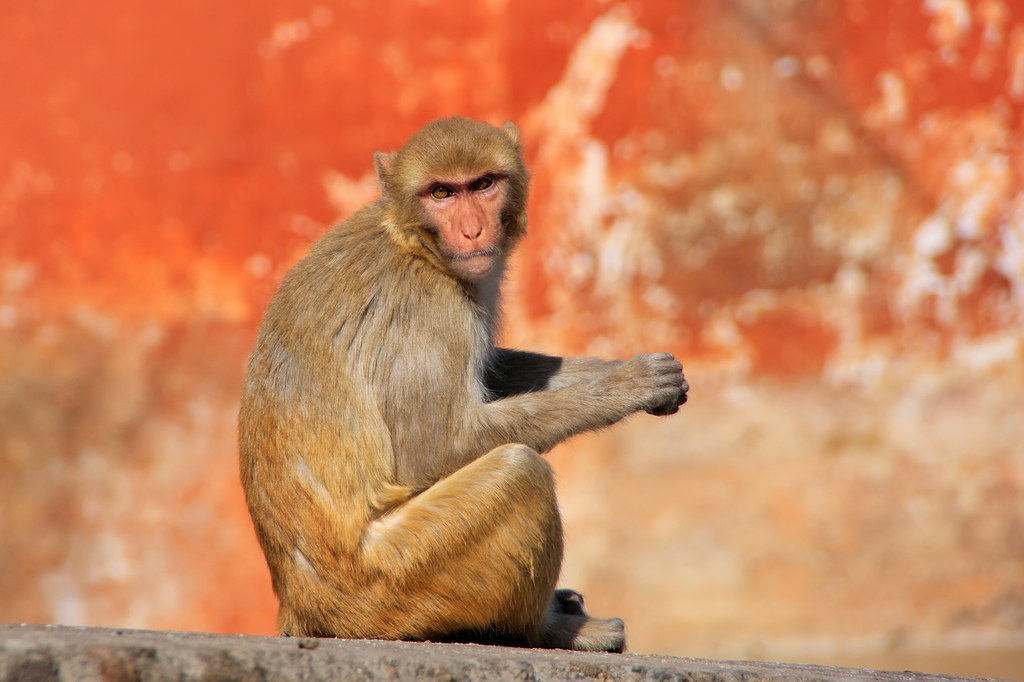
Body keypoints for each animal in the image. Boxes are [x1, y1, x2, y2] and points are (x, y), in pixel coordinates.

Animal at [237, 116, 688, 655]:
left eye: (484, 184)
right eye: (442, 193)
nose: (472, 230)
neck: (413, 241)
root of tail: (301, 609)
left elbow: (492, 373)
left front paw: (618, 370)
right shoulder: (427, 310)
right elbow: (437, 448)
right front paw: (626, 387)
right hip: (394, 581)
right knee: (520, 472)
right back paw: (546, 629)